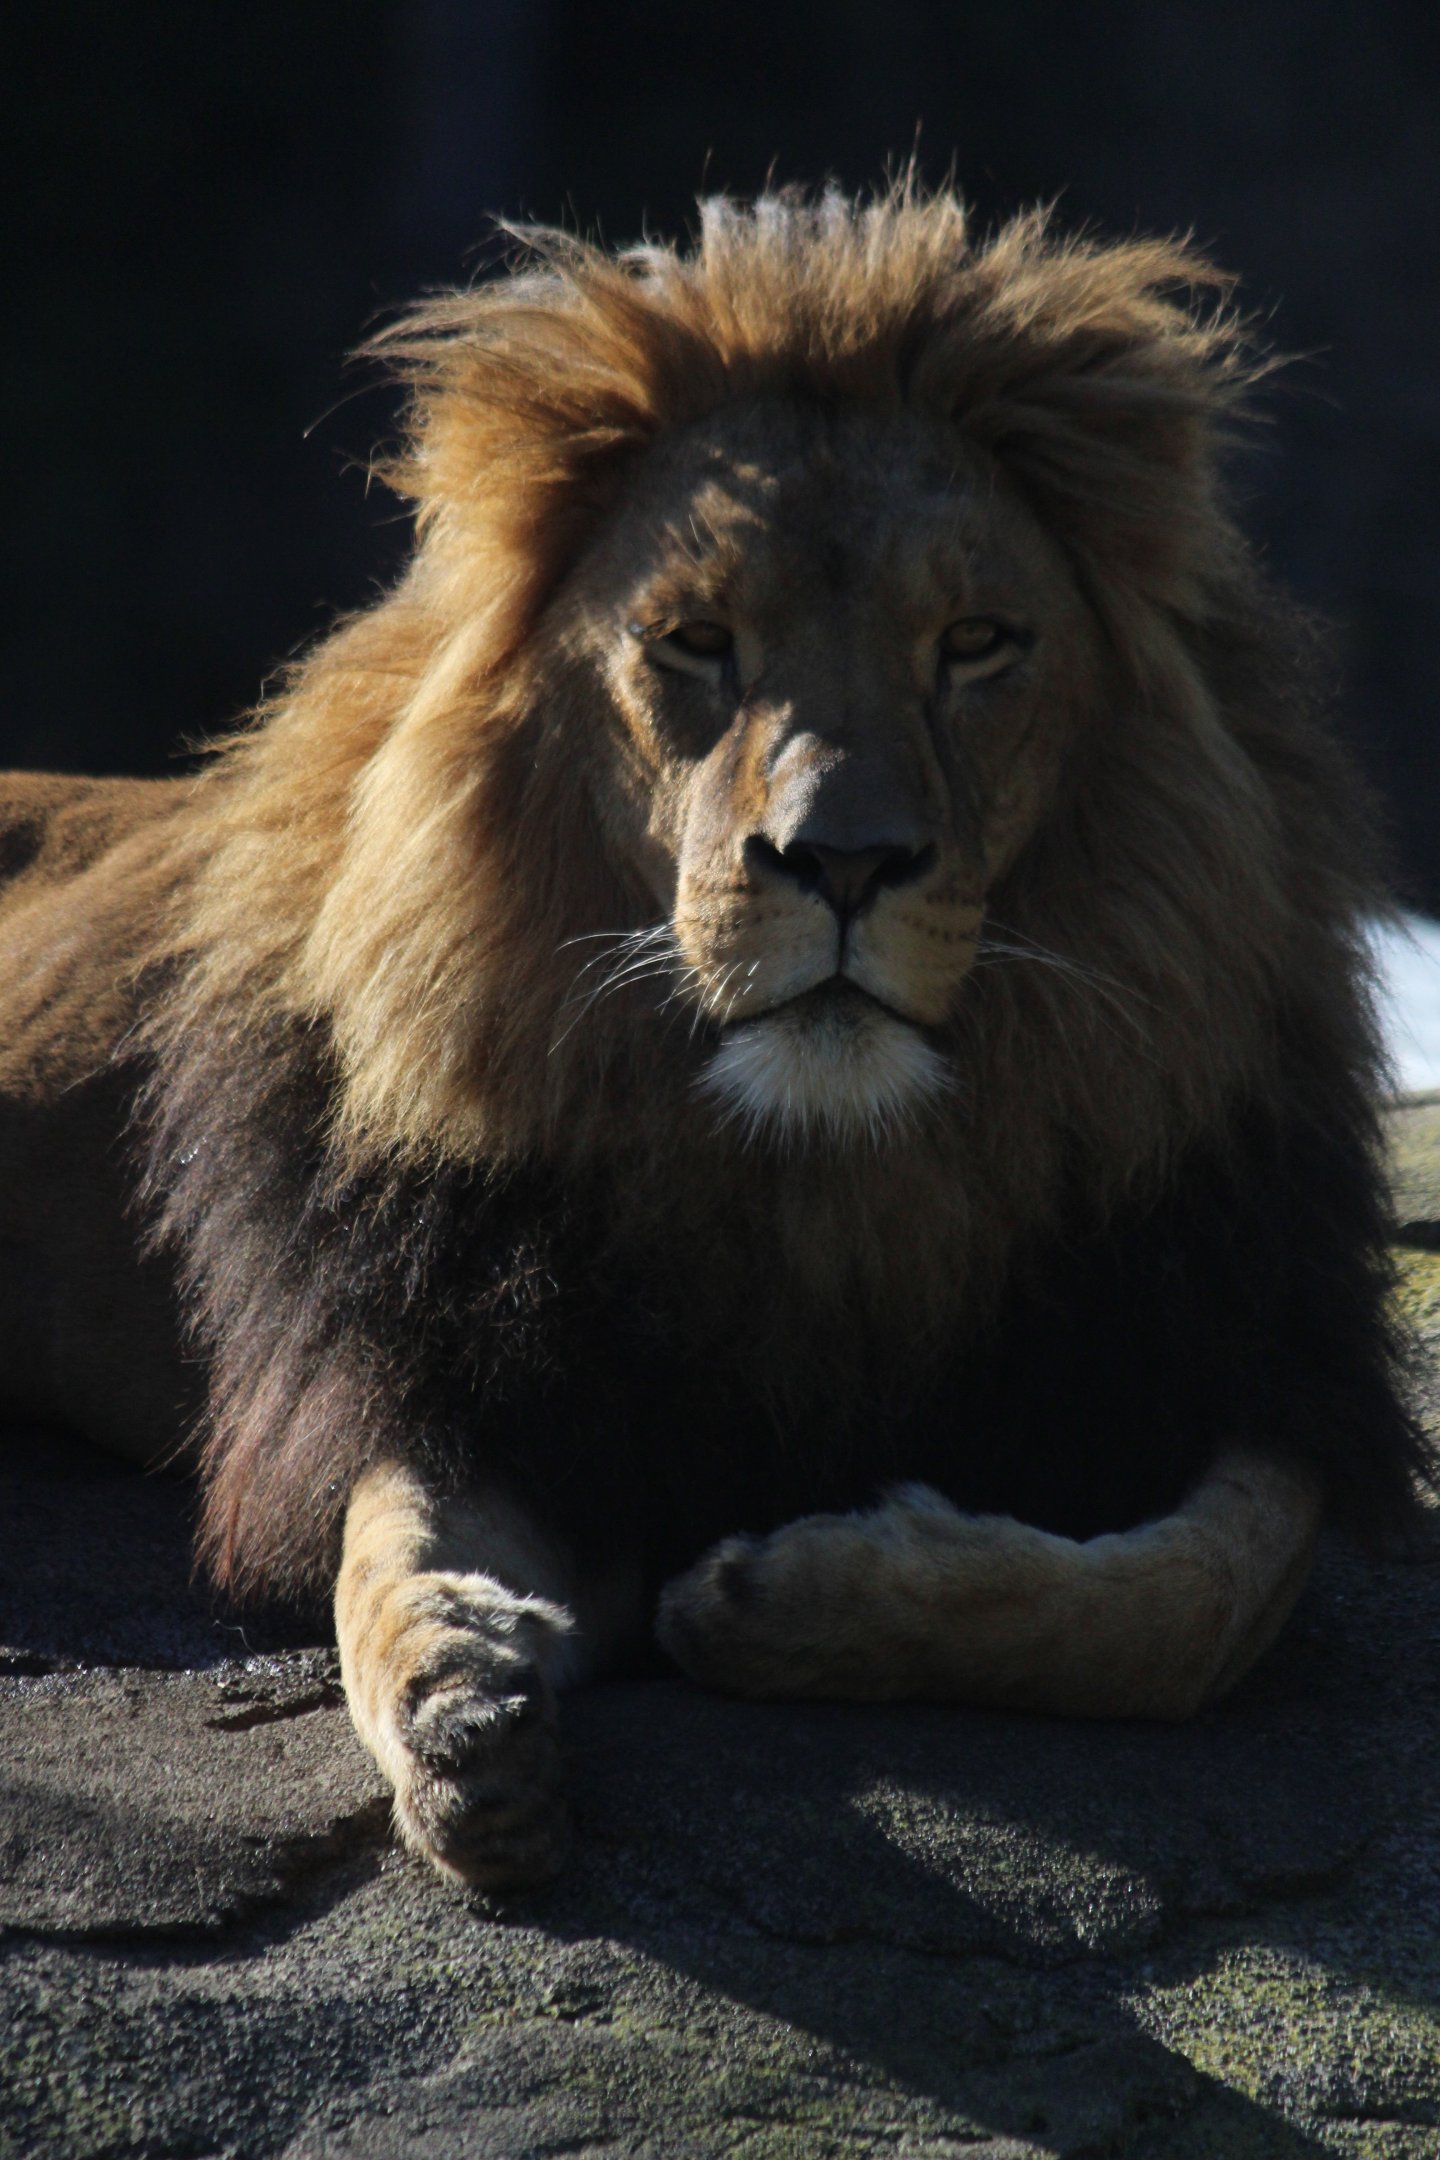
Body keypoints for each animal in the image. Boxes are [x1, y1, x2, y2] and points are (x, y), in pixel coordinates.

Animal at [0, 185, 1425, 1894]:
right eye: (695, 641)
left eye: (976, 642)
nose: (844, 863)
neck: (828, 1167)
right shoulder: (466, 1369)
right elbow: (381, 1557)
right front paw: (460, 1705)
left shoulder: (1232, 1347)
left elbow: (1191, 1605)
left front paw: (794, 1597)